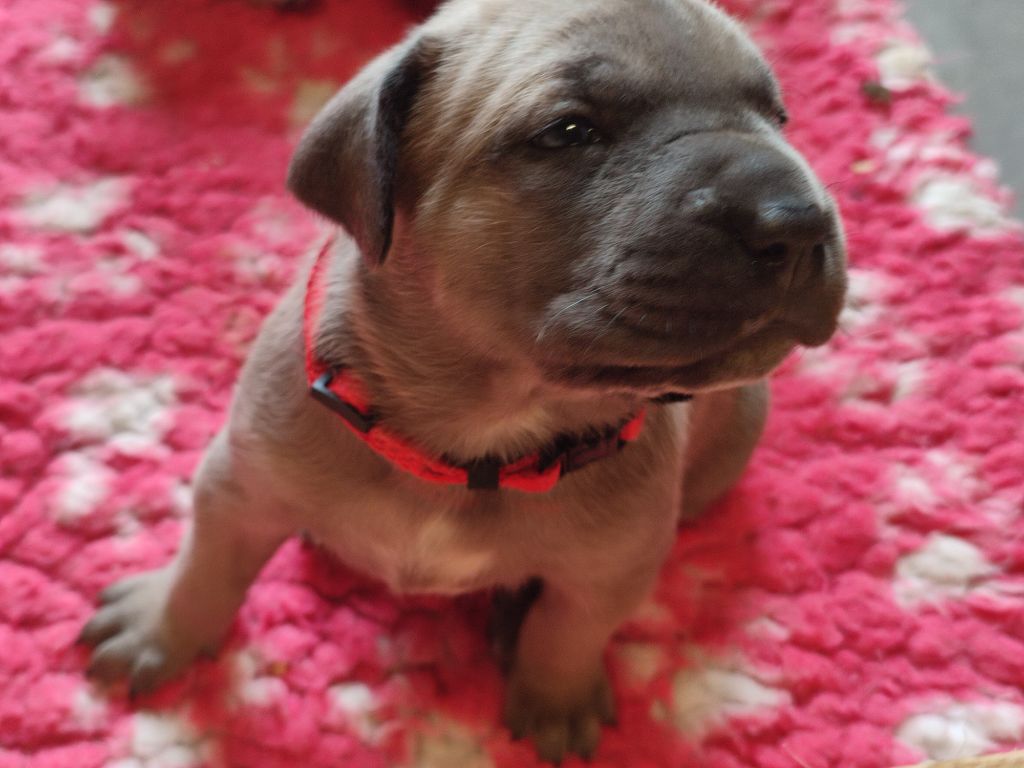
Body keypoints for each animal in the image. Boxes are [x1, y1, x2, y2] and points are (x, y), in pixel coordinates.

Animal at [79, 0, 847, 761]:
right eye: (568, 131)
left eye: (778, 118)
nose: (798, 217)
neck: (483, 428)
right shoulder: (240, 484)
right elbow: (206, 569)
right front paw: (159, 629)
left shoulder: (614, 568)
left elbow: (567, 632)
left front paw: (555, 700)